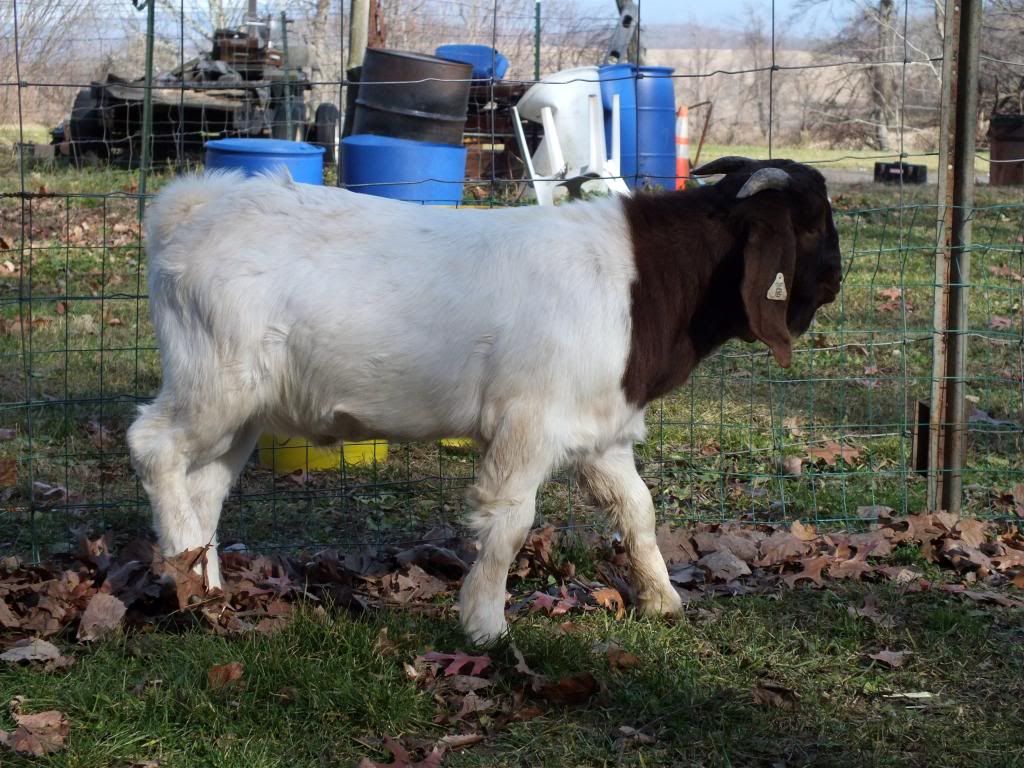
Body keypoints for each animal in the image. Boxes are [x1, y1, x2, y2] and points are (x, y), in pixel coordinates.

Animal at [128, 156, 842, 644]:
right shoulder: (529, 421)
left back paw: (206, 585)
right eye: (811, 227)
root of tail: (188, 206)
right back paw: (184, 569)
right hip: (213, 382)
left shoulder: (601, 433)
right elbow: (510, 521)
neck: (641, 282)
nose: (837, 281)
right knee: (152, 444)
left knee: (205, 487)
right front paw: (484, 623)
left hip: (242, 410)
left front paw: (662, 600)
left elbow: (637, 510)